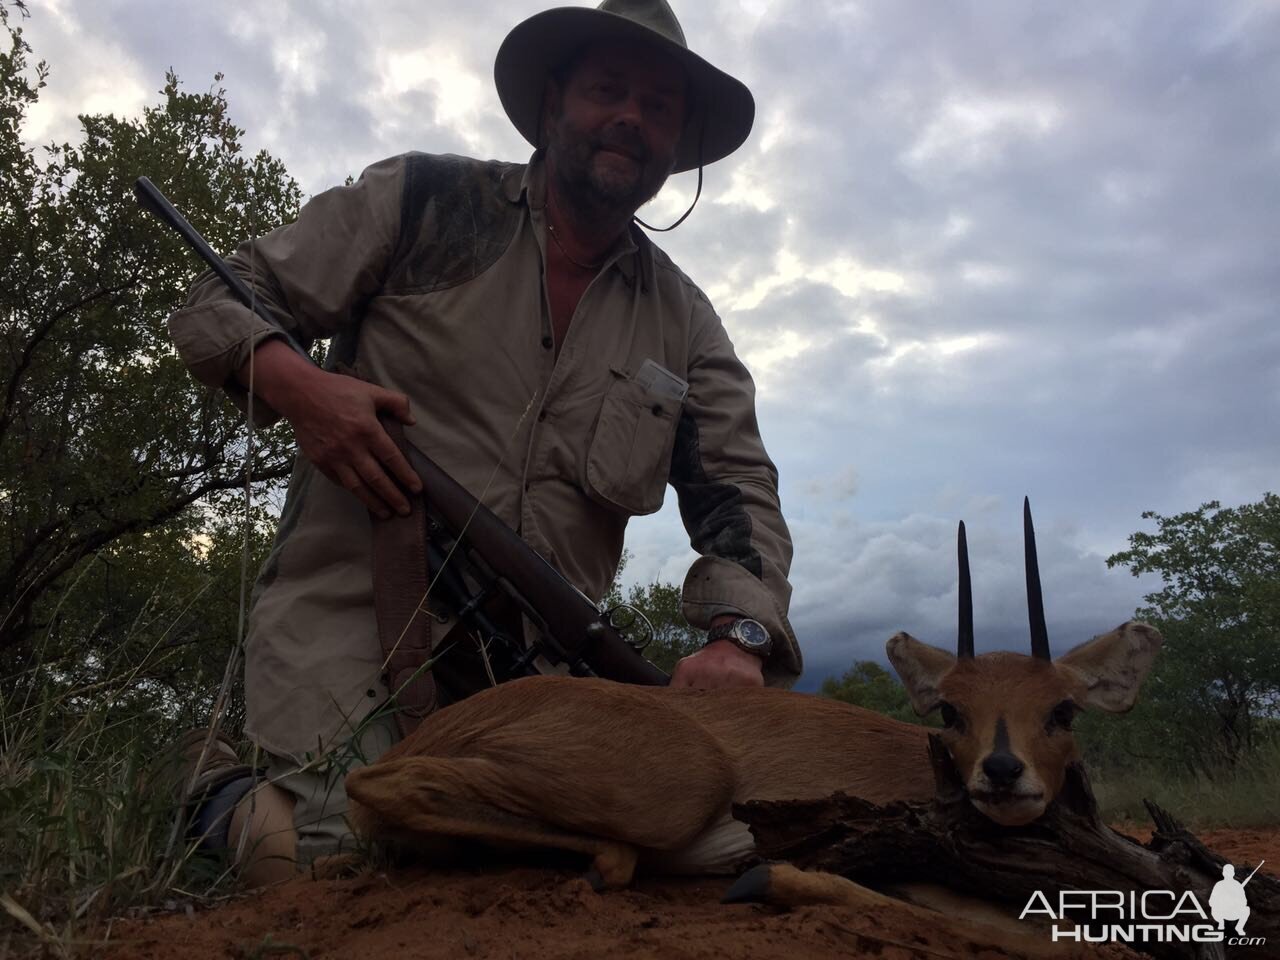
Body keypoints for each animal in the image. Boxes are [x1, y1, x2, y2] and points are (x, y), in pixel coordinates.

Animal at [345, 499, 1167, 901]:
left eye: (1063, 709)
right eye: (951, 711)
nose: (1001, 772)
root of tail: (449, 721)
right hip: (673, 791)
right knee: (376, 781)